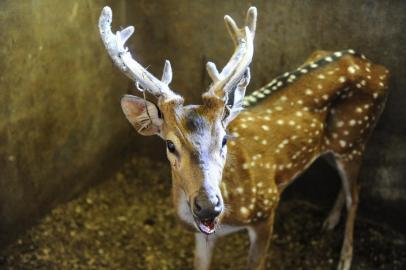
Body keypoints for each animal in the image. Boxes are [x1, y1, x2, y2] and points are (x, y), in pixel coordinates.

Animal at [98, 4, 390, 270]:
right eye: (170, 144)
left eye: (224, 139)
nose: (208, 206)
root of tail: (379, 67)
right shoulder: (202, 235)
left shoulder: (267, 208)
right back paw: (329, 221)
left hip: (355, 137)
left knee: (356, 194)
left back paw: (345, 258)